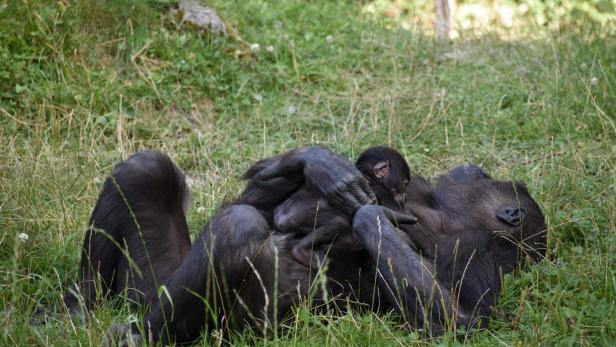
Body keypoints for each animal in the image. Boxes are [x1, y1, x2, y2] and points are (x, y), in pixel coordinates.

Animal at [274, 146, 412, 266]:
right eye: (405, 184)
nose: (405, 195)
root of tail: (279, 219)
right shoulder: (381, 190)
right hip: (301, 217)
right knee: (338, 223)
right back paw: (301, 251)